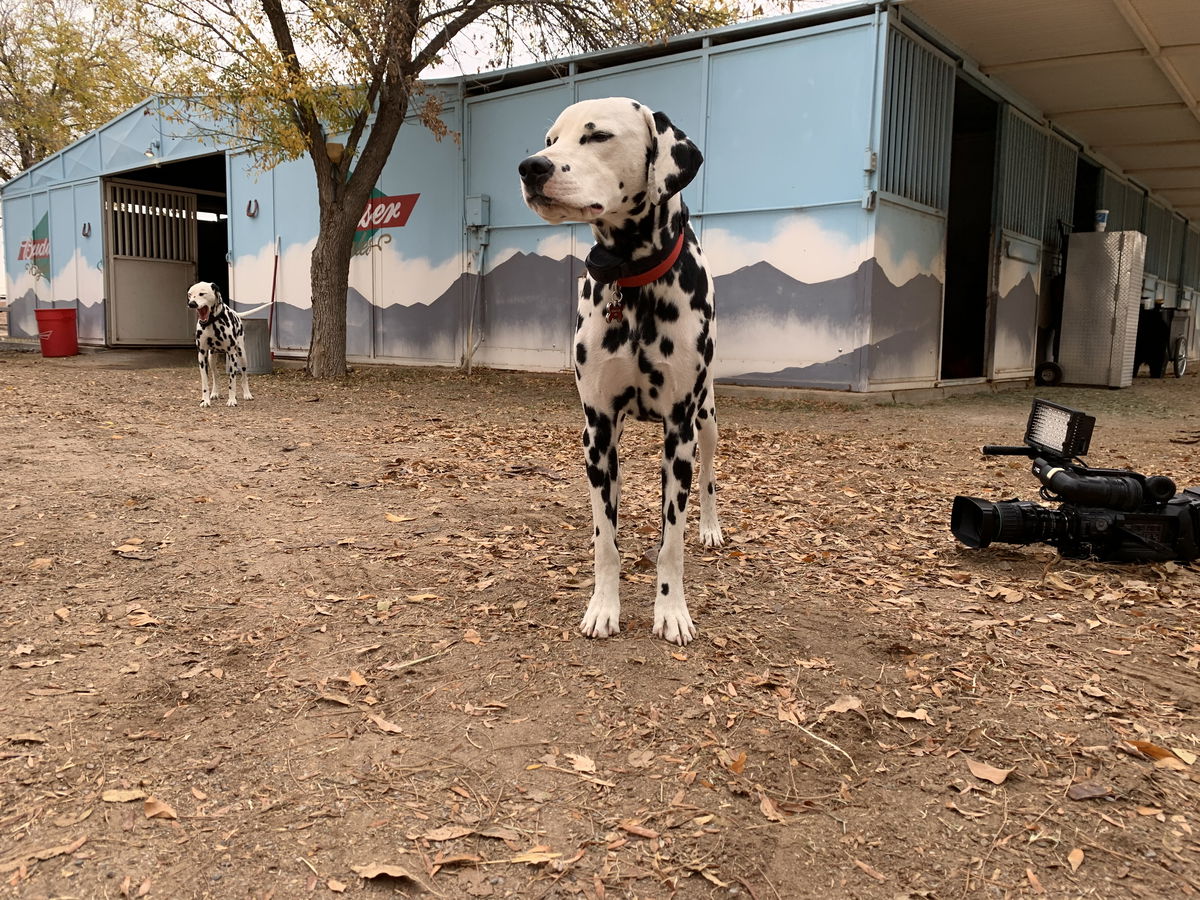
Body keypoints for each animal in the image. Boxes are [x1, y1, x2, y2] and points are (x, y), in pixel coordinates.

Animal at [519, 97, 722, 645]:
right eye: (550, 141)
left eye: (598, 136)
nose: (531, 167)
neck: (631, 283)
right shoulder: (599, 429)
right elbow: (605, 540)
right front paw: (603, 606)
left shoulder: (679, 430)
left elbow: (671, 542)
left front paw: (671, 611)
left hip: (706, 421)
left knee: (708, 477)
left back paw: (710, 527)